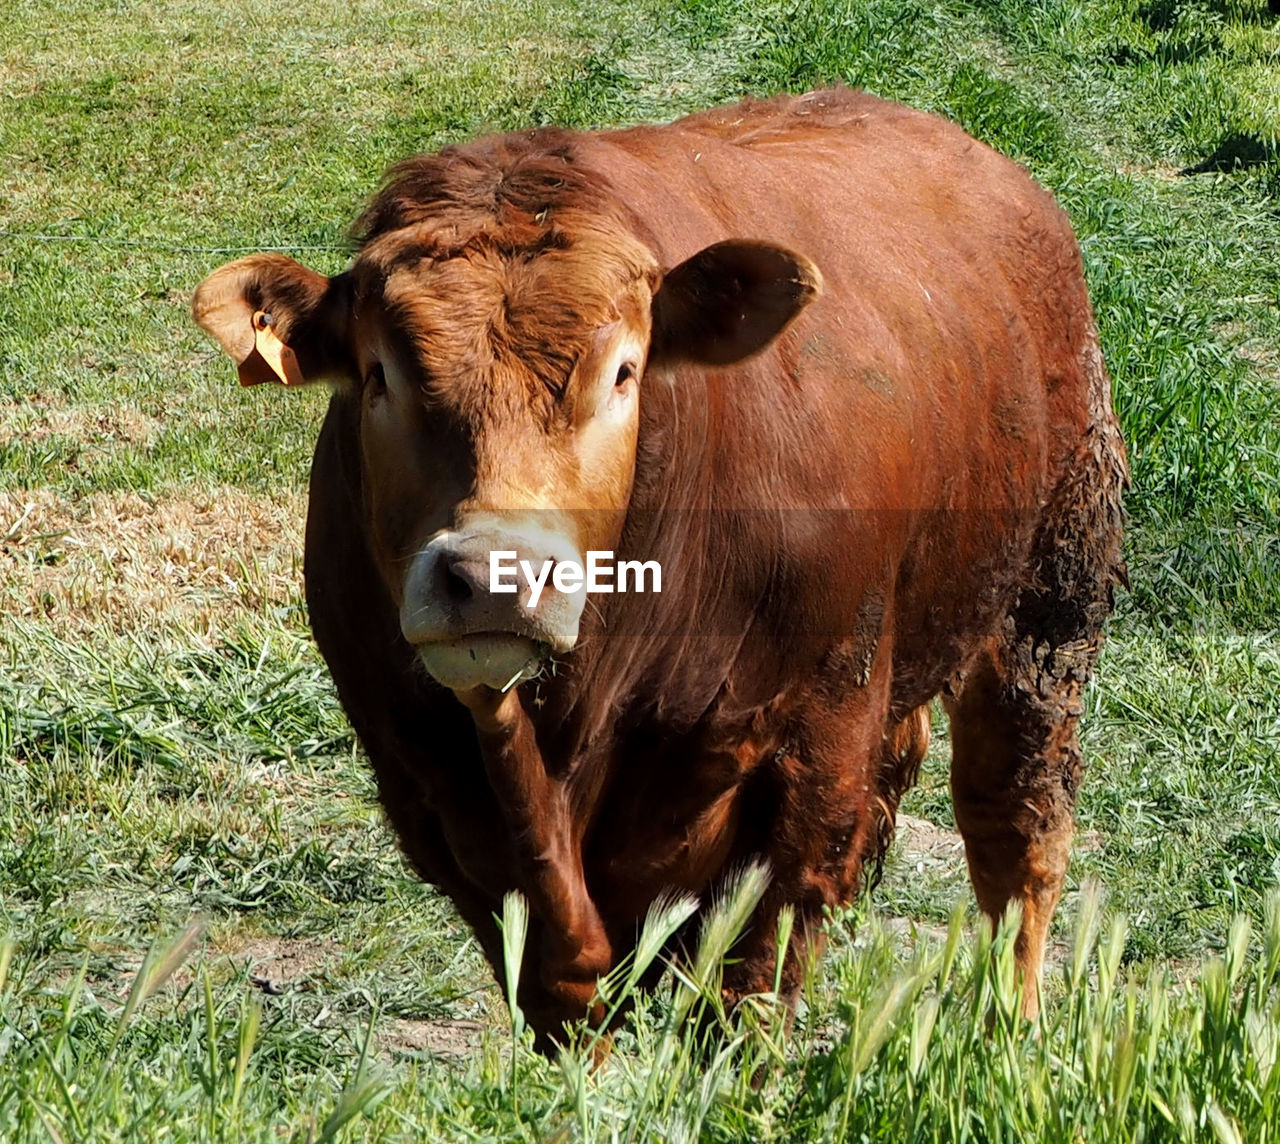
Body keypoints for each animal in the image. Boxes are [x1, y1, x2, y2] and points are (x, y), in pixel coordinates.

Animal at [194, 87, 1126, 1039]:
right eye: (378, 376)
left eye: (624, 371)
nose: (493, 577)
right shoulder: (437, 796)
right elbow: (568, 987)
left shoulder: (814, 754)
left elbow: (750, 983)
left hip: (1050, 599)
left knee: (1015, 830)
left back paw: (1013, 1027)